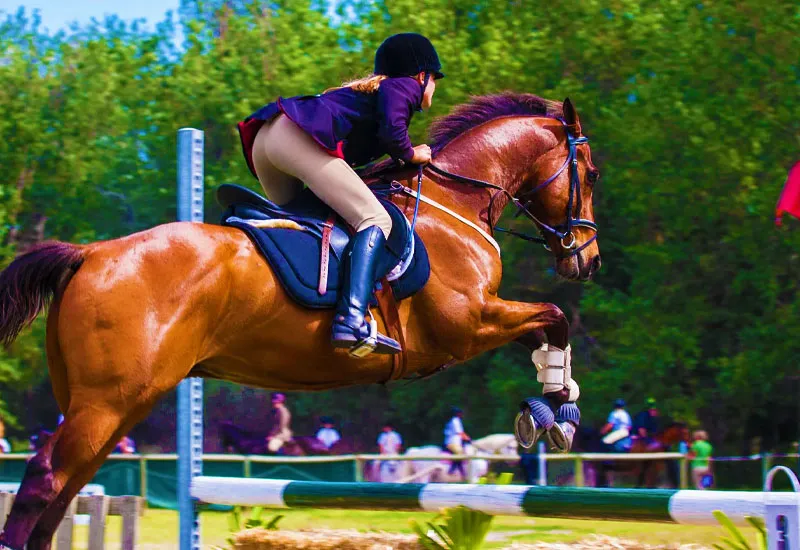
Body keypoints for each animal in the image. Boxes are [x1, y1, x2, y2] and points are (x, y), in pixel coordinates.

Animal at [0, 92, 600, 548]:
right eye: (590, 173)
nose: (587, 260)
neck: (452, 202)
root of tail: (89, 254)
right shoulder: (467, 325)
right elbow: (554, 317)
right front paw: (556, 412)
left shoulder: (478, 323)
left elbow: (547, 326)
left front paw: (557, 402)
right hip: (108, 401)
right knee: (44, 479)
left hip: (113, 403)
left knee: (67, 489)